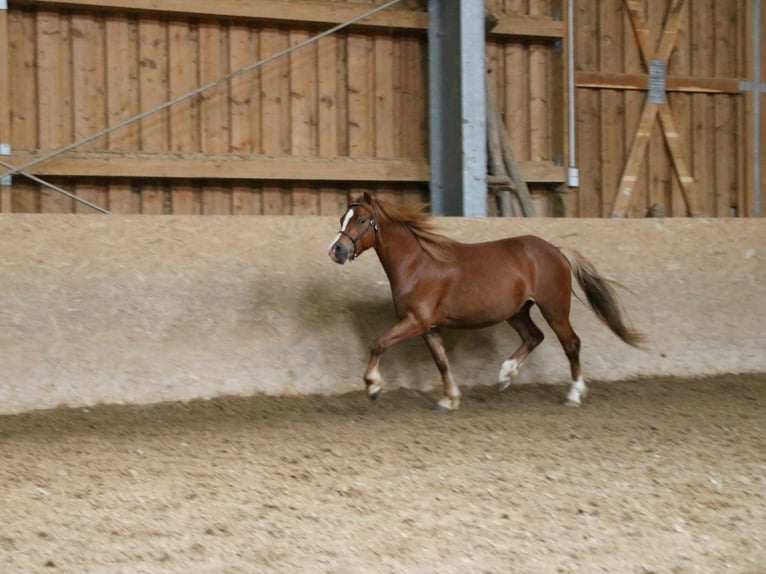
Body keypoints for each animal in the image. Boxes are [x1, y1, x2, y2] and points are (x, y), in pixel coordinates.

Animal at [330, 195, 648, 414]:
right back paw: (505, 375)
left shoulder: (415, 321)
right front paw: (449, 400)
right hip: (517, 312)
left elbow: (378, 343)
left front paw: (373, 386)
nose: (337, 250)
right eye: (342, 219)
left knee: (571, 343)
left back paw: (573, 395)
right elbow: (442, 362)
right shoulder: (428, 326)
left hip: (554, 308)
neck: (417, 263)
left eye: (360, 220)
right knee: (534, 337)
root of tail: (557, 251)